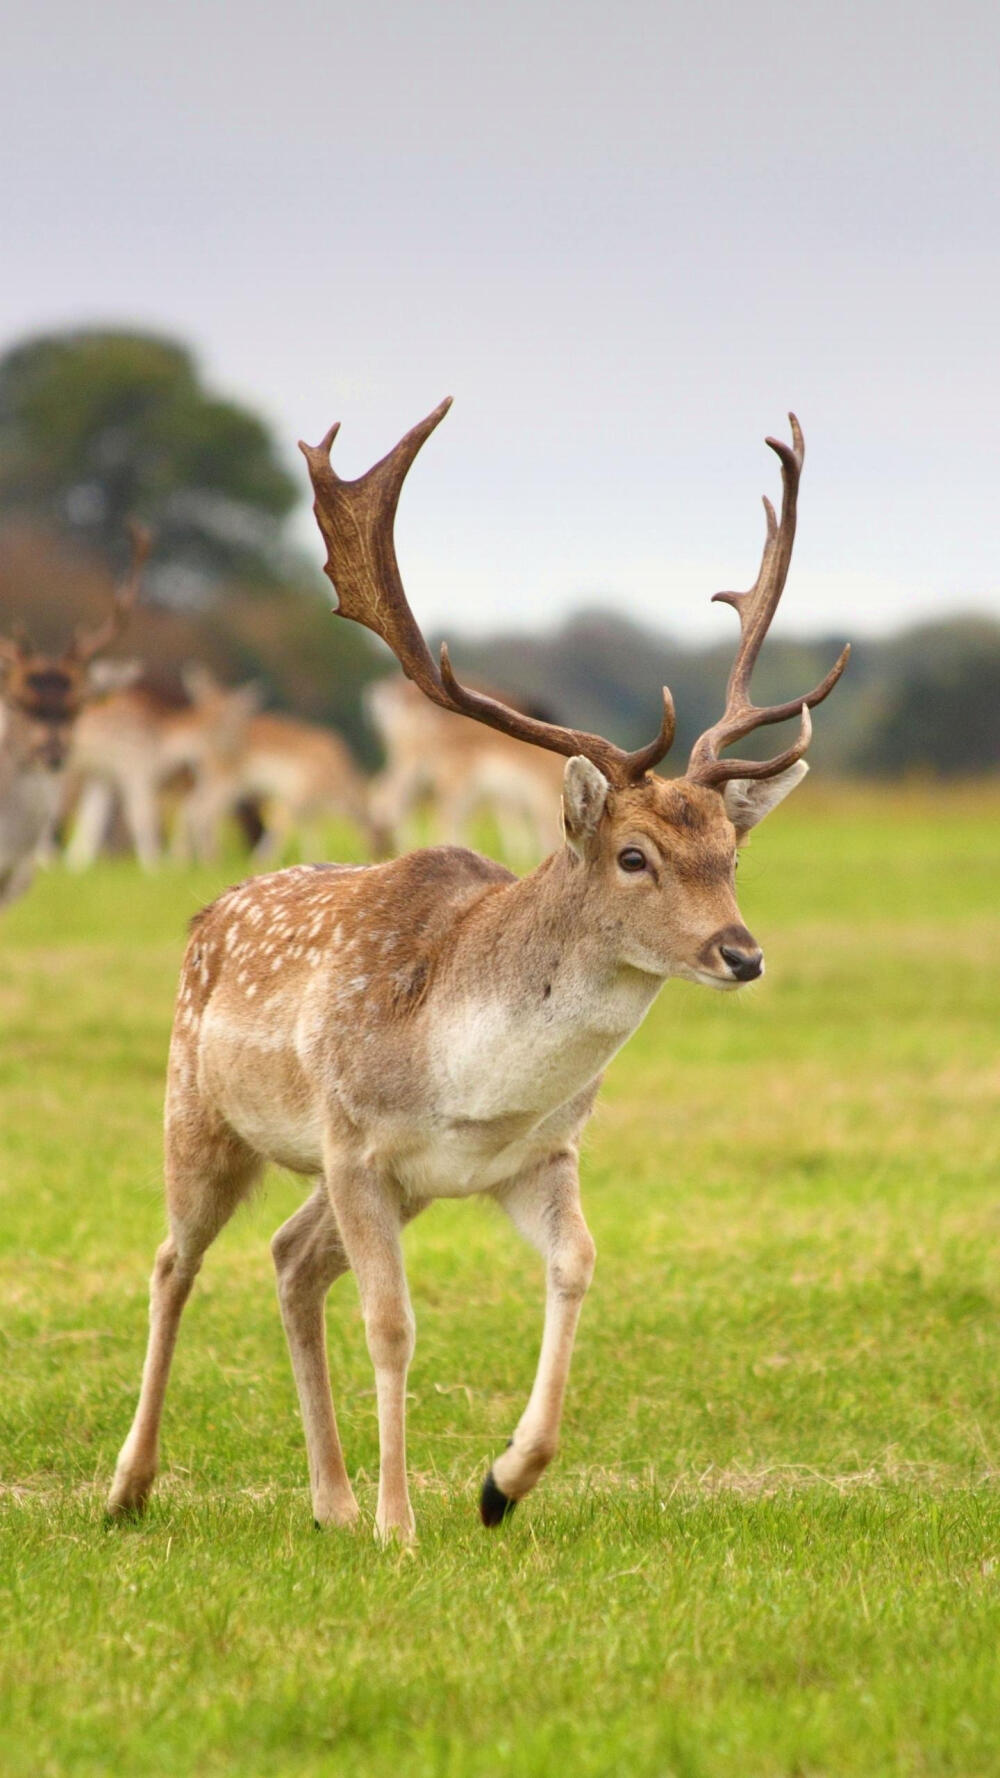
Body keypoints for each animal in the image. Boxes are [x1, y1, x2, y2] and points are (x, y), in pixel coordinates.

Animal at [107, 407, 839, 1543]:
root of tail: (208, 910)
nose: (741, 952)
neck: (471, 1081)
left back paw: (328, 1499)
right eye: (635, 856)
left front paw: (501, 1480)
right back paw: (132, 1486)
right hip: (202, 1110)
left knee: (288, 1257)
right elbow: (393, 1322)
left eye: (731, 849)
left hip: (362, 1183)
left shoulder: (530, 1157)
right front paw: (402, 1527)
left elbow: (578, 1264)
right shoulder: (356, 1143)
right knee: (173, 1261)